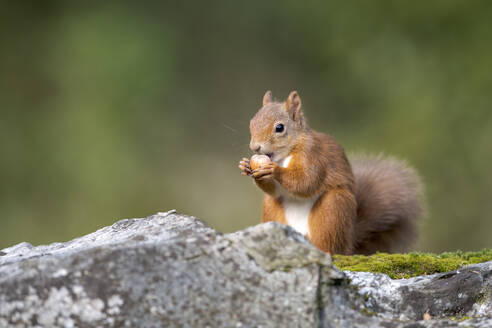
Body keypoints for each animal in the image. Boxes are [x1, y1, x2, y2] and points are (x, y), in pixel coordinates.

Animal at [238, 91, 422, 255]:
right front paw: (245, 165)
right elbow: (275, 190)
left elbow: (306, 181)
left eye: (279, 127)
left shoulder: (314, 157)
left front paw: (274, 170)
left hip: (333, 209)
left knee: (328, 245)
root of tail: (349, 244)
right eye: (251, 123)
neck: (285, 155)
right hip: (271, 208)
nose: (255, 147)